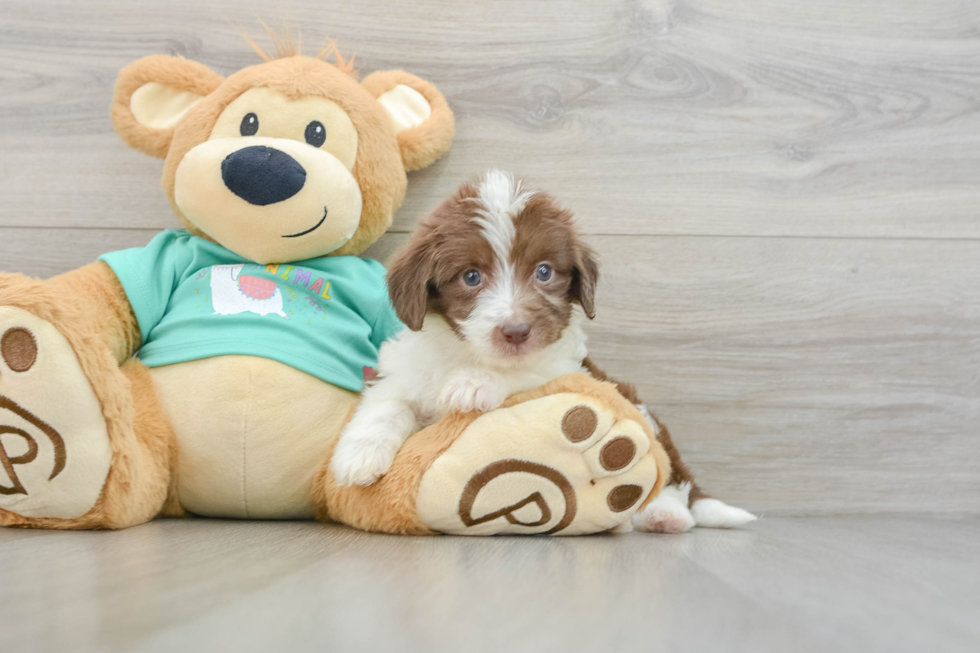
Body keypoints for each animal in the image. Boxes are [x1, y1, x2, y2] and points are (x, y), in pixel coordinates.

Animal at [332, 171, 756, 532]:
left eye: (544, 272)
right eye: (471, 277)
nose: (516, 331)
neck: (468, 354)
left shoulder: (564, 366)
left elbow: (525, 373)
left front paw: (474, 383)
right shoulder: (406, 369)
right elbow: (387, 402)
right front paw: (358, 455)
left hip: (641, 412)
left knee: (670, 475)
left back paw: (664, 514)